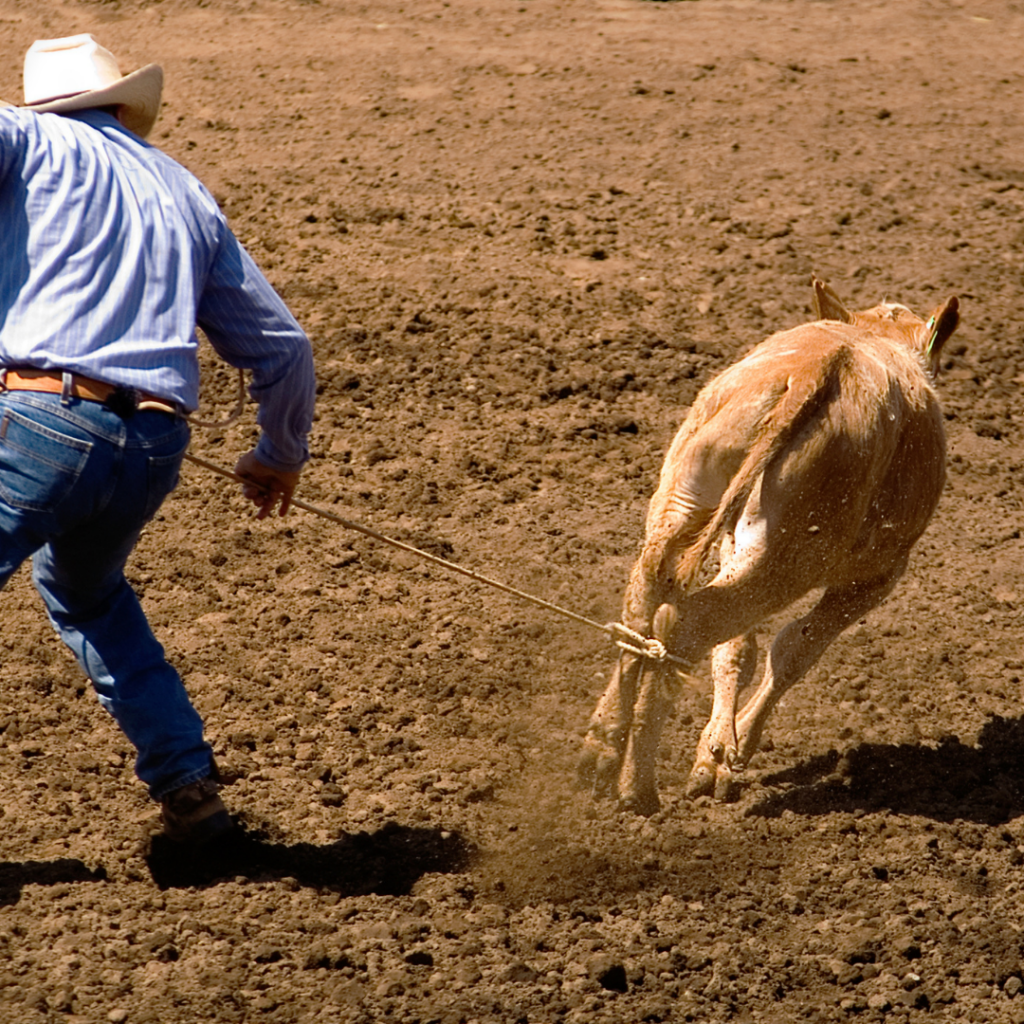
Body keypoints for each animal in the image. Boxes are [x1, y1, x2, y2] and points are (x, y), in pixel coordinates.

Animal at [581, 276, 962, 811]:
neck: (875, 336)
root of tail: (813, 371)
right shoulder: (875, 578)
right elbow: (794, 651)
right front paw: (727, 758)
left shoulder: (732, 544)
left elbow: (736, 651)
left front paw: (714, 756)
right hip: (790, 559)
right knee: (688, 624)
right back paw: (638, 788)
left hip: (685, 503)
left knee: (646, 606)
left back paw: (601, 748)